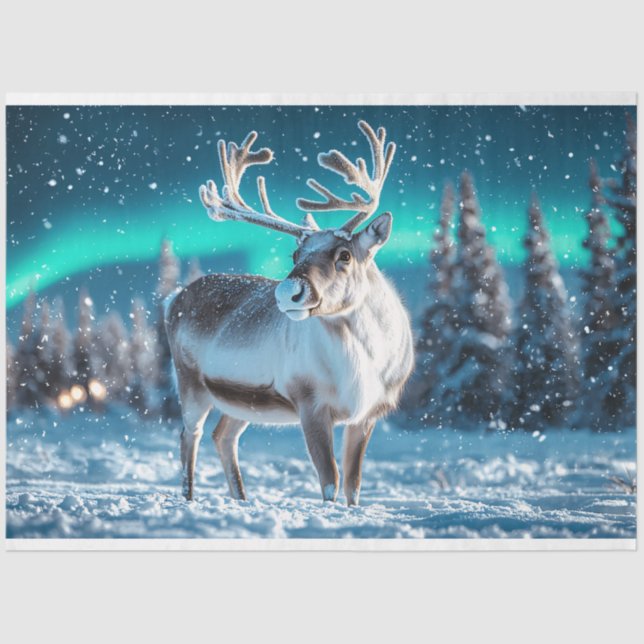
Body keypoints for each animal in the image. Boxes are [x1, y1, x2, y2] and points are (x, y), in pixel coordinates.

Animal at [164, 120, 414, 506]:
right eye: (295, 255)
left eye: (344, 255)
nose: (288, 291)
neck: (365, 360)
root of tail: (174, 298)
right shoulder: (309, 402)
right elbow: (329, 480)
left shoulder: (369, 412)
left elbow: (354, 484)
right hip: (190, 383)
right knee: (188, 436)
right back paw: (190, 499)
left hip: (243, 402)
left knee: (223, 436)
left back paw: (242, 499)